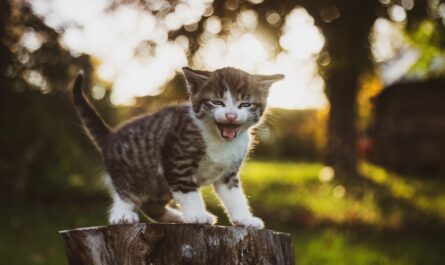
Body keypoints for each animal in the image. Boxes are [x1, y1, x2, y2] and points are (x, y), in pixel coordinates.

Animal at [71, 67, 282, 228]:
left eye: (244, 104)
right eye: (216, 102)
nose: (231, 115)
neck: (219, 141)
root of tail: (110, 136)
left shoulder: (228, 173)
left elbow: (235, 196)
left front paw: (244, 219)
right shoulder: (177, 159)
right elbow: (188, 191)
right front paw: (196, 214)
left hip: (158, 185)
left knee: (152, 206)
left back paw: (177, 217)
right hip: (131, 171)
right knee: (125, 192)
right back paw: (122, 214)